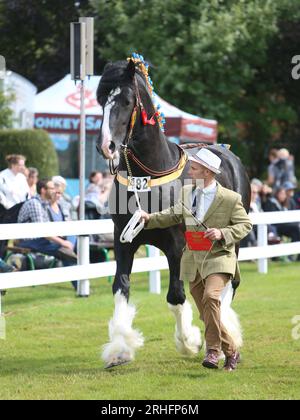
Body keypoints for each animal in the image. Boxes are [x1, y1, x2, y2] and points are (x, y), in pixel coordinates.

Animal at [96, 56, 251, 368]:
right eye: (100, 99)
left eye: (127, 100)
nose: (106, 146)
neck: (148, 177)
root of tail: (228, 153)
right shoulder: (124, 241)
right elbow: (121, 287)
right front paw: (120, 349)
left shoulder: (176, 247)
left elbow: (176, 295)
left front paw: (189, 342)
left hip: (233, 240)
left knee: (229, 283)